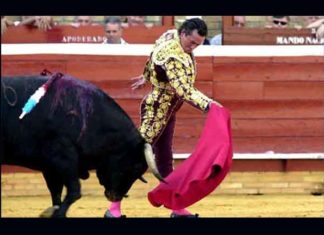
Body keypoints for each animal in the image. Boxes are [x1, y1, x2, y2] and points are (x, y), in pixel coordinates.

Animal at [0, 72, 162, 218]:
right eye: (134, 166)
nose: (116, 196)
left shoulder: (50, 168)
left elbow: (56, 193)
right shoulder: (62, 159)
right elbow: (74, 191)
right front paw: (56, 213)